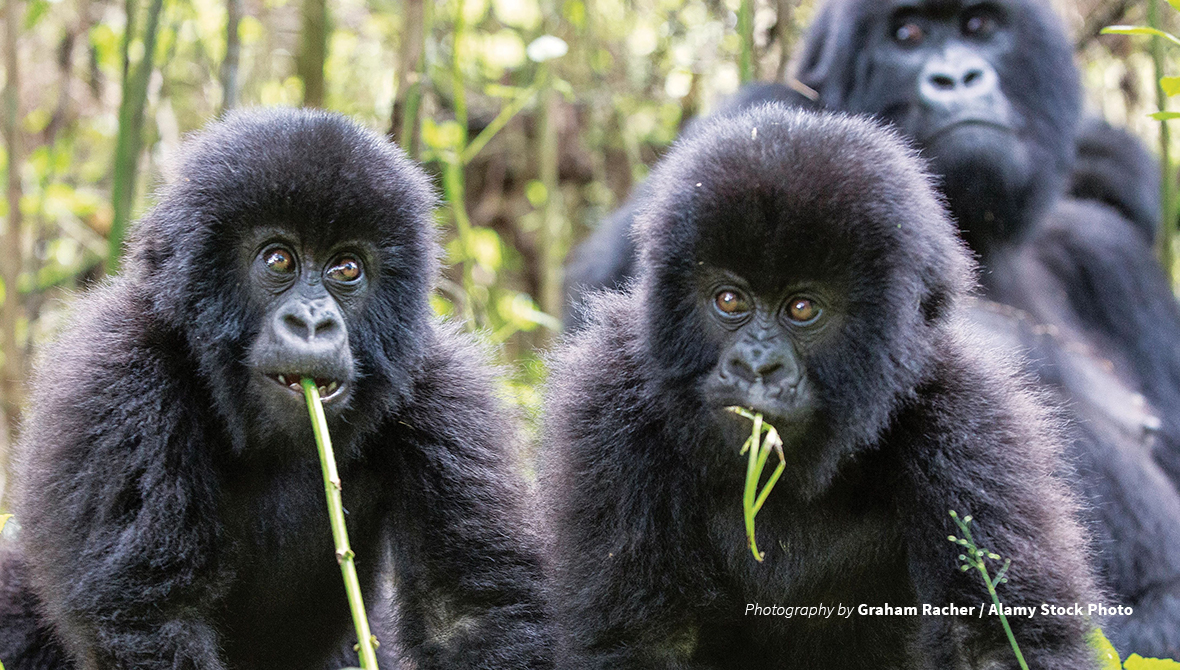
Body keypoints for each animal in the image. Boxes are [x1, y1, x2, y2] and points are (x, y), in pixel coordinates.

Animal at [0, 108, 549, 670]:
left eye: (346, 268)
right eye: (279, 260)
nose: (312, 323)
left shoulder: (443, 390)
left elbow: (471, 617)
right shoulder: (119, 377)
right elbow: (152, 615)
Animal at [542, 107, 1095, 665]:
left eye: (802, 308)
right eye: (729, 300)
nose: (756, 367)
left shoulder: (971, 422)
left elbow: (994, 643)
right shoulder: (609, 397)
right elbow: (641, 639)